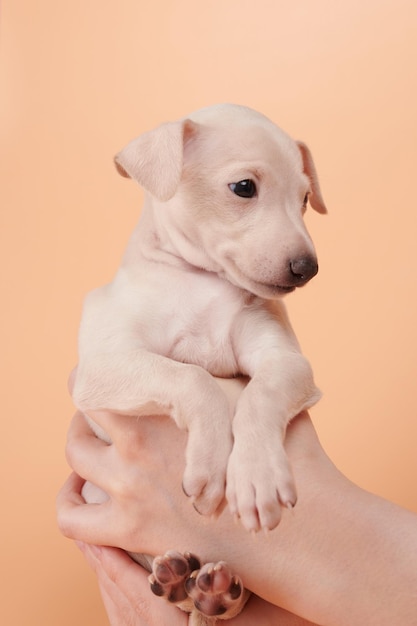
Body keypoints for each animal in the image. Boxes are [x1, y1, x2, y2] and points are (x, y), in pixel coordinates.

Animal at [72, 102, 324, 620]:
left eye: (307, 199)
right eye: (244, 187)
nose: (307, 268)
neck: (202, 281)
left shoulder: (288, 362)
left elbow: (261, 394)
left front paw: (257, 476)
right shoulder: (103, 366)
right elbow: (191, 378)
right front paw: (210, 462)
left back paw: (214, 591)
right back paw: (177, 579)